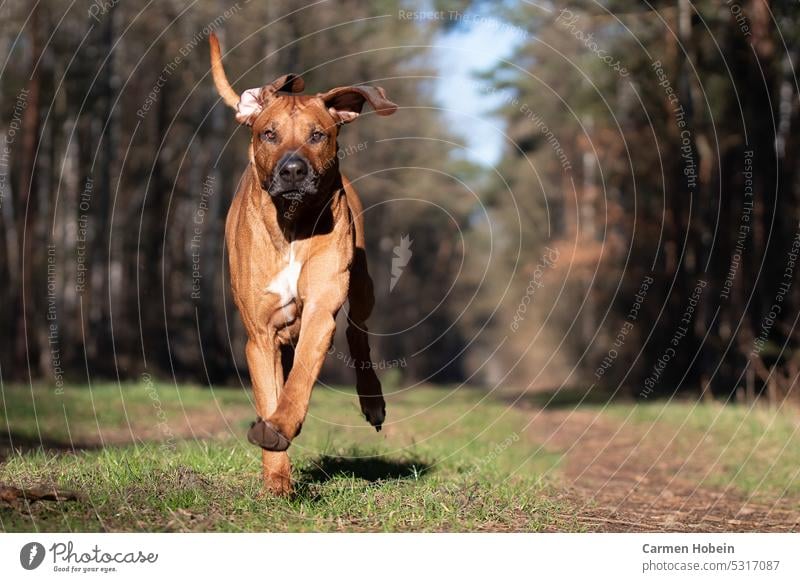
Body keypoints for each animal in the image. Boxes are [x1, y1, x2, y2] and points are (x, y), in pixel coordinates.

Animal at [206, 34, 394, 496]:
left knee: (357, 329)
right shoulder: (260, 336)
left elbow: (299, 381)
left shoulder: (320, 311)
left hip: (361, 281)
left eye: (318, 135)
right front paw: (277, 477)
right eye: (269, 134)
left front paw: (279, 427)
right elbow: (270, 393)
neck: (291, 224)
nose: (293, 170)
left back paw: (372, 399)